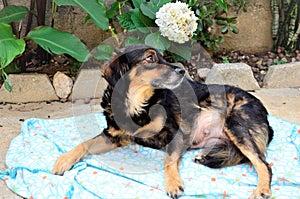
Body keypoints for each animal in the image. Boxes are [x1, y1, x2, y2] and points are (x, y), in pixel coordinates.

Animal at [52, 45, 274, 199]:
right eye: (150, 58)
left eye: (164, 57)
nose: (181, 71)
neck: (136, 104)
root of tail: (266, 115)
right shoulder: (113, 136)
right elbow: (84, 144)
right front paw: (64, 160)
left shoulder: (177, 133)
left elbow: (168, 159)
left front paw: (173, 183)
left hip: (234, 123)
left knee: (263, 163)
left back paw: (262, 189)